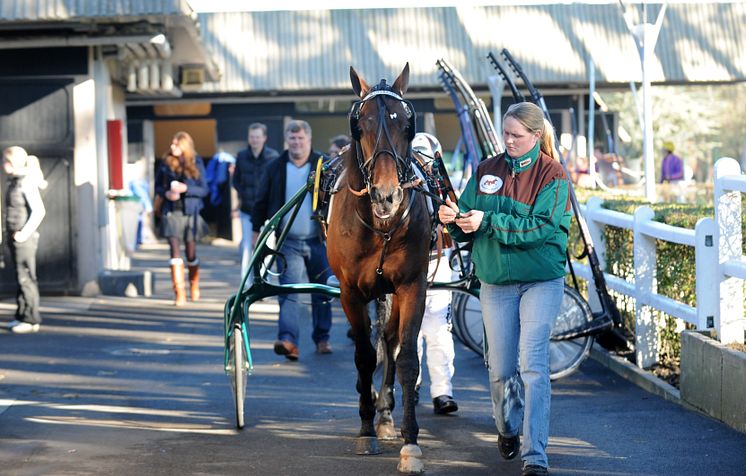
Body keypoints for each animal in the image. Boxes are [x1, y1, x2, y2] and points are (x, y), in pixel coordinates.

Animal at [326, 65, 430, 474]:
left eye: (406, 123)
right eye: (362, 123)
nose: (387, 196)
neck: (380, 225)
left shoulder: (412, 286)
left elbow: (406, 359)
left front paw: (409, 442)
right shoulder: (350, 292)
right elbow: (363, 356)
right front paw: (365, 430)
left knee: (388, 339)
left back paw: (385, 413)